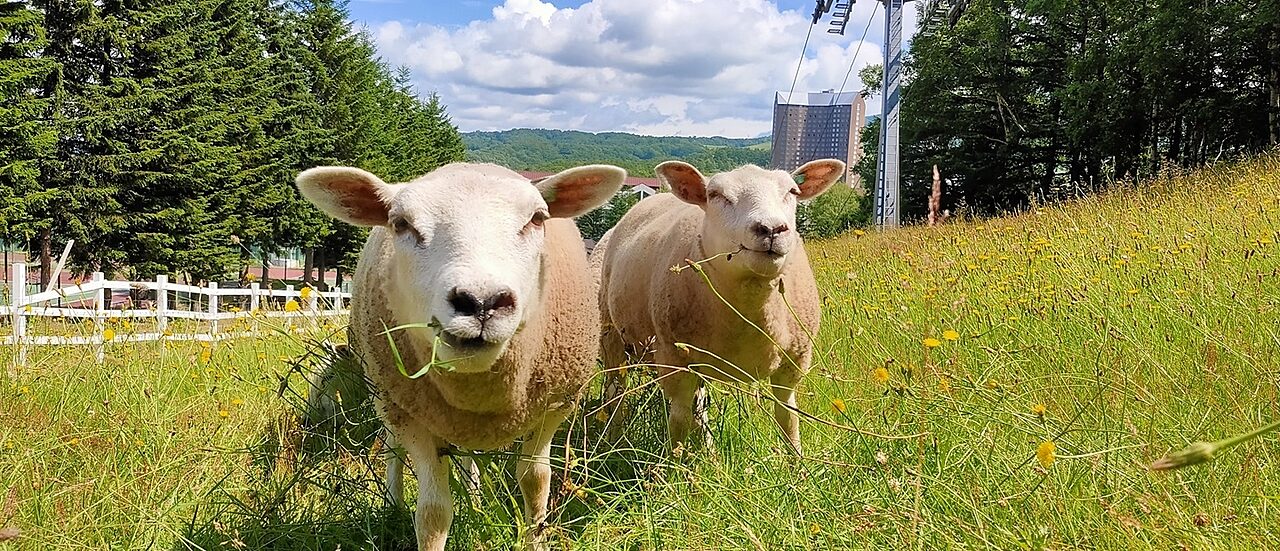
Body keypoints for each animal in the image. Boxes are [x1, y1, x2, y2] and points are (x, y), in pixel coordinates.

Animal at [296, 162, 625, 551]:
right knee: (393, 450)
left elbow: (535, 482)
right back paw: (392, 505)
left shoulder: (553, 408)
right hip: (388, 395)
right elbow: (433, 513)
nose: (481, 302)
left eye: (537, 218)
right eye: (401, 223)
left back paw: (476, 496)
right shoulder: (412, 417)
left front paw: (535, 537)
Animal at [594, 159, 845, 455]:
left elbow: (788, 418)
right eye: (715, 195)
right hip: (611, 333)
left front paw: (797, 463)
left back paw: (709, 451)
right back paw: (612, 440)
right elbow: (678, 420)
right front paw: (675, 464)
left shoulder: (795, 360)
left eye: (792, 192)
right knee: (615, 392)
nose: (772, 229)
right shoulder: (674, 358)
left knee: (699, 406)